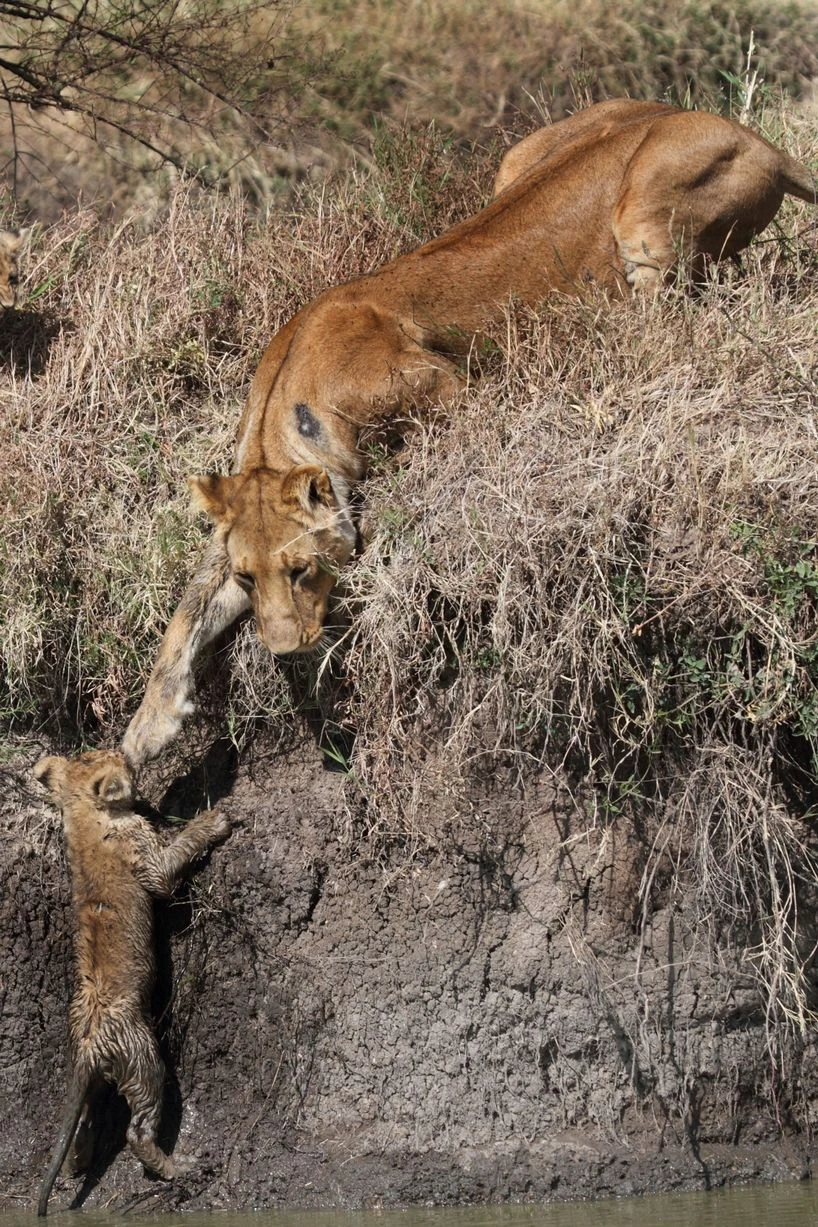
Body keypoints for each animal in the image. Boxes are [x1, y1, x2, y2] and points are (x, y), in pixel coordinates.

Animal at [34, 749, 232, 1215]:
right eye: (111, 758)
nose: (124, 752)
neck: (84, 817)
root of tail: (90, 1041)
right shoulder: (147, 859)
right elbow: (168, 865)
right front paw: (213, 820)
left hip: (92, 1071)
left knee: (85, 1120)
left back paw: (78, 1161)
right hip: (143, 1056)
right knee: (138, 1129)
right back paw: (178, 1165)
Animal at [122, 99, 816, 768]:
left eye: (301, 570)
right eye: (248, 580)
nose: (287, 651)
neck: (286, 413)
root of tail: (758, 140)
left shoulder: (452, 387)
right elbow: (186, 610)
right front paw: (146, 730)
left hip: (647, 210)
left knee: (666, 324)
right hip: (520, 158)